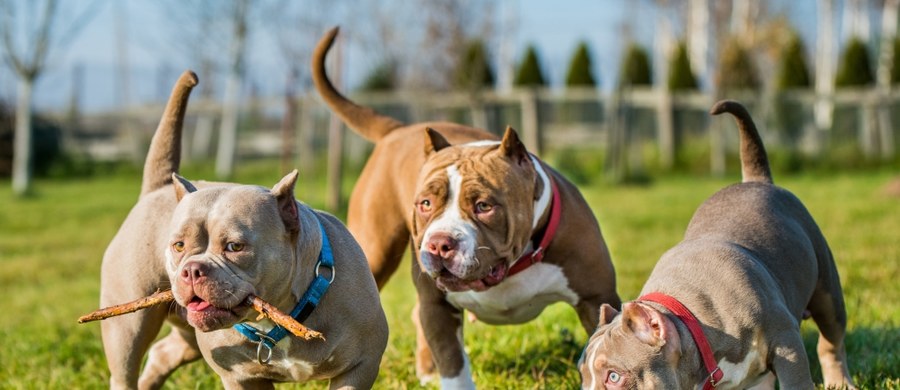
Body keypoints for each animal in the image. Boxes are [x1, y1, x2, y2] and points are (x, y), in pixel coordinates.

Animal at [98, 71, 386, 390]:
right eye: (179, 246)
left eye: (235, 247)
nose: (192, 270)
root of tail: (156, 189)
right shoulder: (241, 377)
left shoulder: (359, 367)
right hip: (127, 328)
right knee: (126, 365)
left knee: (164, 352)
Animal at [314, 28, 620, 386]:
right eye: (425, 203)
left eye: (484, 205)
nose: (439, 244)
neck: (514, 265)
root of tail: (398, 130)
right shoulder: (437, 305)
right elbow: (454, 366)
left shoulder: (595, 299)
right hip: (375, 250)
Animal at [576, 101, 856, 390]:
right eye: (582, 375)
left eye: (614, 376)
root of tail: (754, 181)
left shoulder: (786, 341)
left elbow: (796, 380)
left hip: (828, 291)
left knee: (831, 340)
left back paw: (840, 382)